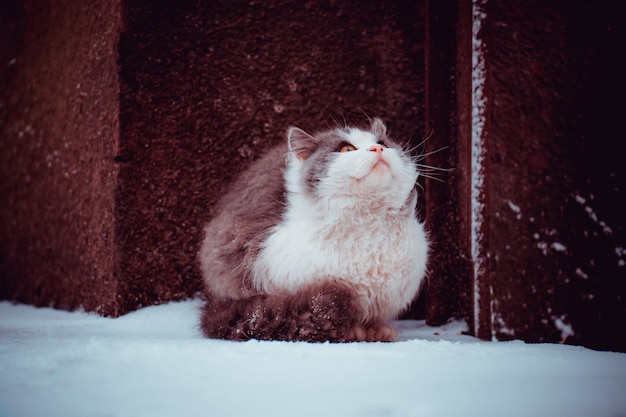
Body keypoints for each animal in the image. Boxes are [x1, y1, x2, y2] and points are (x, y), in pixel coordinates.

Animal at [197, 117, 426, 342]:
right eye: (347, 149)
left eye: (382, 143)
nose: (377, 149)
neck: (369, 219)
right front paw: (352, 331)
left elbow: (373, 318)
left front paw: (377, 330)